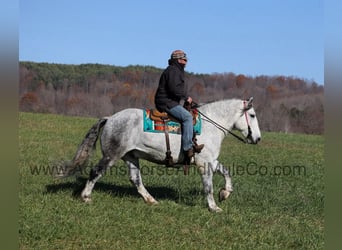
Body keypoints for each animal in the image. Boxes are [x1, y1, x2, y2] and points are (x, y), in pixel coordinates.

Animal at [59, 96, 262, 212]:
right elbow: (208, 187)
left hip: (131, 156)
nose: (258, 138)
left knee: (135, 179)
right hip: (112, 155)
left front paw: (225, 193)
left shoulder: (210, 160)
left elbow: (227, 172)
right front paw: (214, 207)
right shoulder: (204, 163)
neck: (209, 124)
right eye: (252, 115)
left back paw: (151, 200)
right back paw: (86, 197)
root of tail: (110, 119)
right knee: (96, 172)